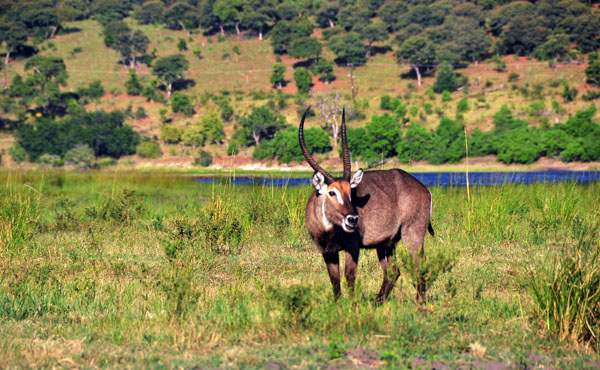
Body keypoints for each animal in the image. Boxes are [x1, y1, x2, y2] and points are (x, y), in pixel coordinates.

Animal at [302, 107, 434, 304]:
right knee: (393, 272)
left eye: (351, 192)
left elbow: (349, 276)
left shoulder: (352, 247)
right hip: (387, 243)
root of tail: (424, 188)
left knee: (419, 265)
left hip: (413, 233)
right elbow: (334, 279)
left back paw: (420, 303)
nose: (352, 219)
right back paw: (377, 302)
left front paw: (352, 305)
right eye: (332, 192)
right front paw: (337, 304)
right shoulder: (327, 252)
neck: (328, 228)